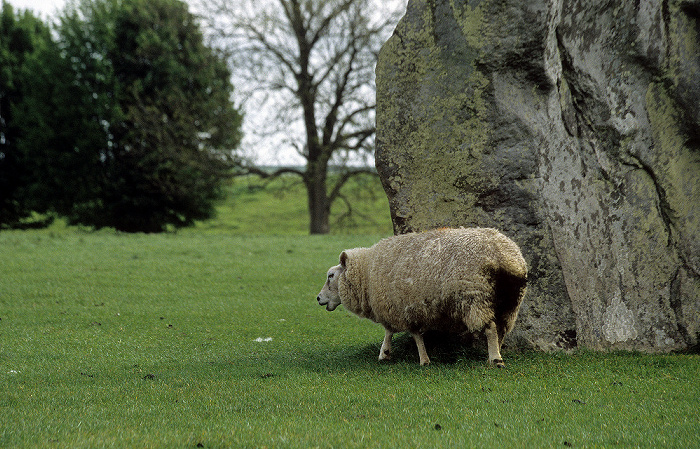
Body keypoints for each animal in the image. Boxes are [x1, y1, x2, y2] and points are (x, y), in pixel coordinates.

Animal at [316, 226, 524, 366]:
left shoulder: (401, 308)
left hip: (476, 298)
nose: (318, 298)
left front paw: (421, 359)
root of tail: (502, 254)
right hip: (510, 301)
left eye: (330, 276)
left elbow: (408, 333)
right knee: (502, 329)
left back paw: (495, 359)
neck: (367, 273)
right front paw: (386, 353)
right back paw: (497, 352)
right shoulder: (401, 307)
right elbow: (394, 331)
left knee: (490, 328)